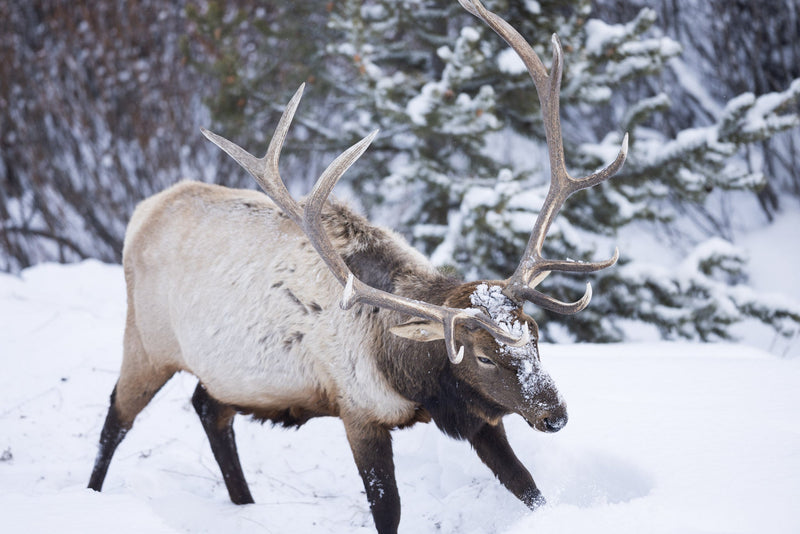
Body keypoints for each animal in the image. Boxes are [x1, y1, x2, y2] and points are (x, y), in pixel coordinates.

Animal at [87, 2, 624, 532]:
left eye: (535, 336)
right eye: (483, 357)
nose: (555, 415)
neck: (411, 379)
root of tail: (143, 211)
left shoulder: (476, 415)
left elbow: (526, 485)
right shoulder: (358, 410)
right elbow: (388, 508)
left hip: (226, 373)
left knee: (208, 410)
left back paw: (245, 504)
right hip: (147, 342)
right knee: (116, 417)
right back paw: (91, 494)